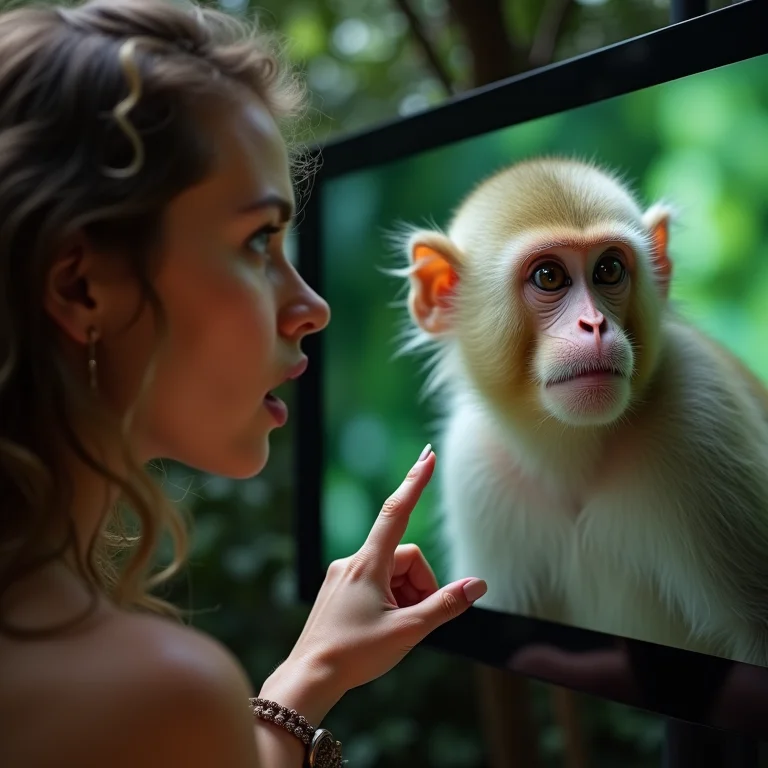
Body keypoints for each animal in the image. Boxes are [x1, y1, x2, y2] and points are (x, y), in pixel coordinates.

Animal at [391, 156, 768, 668]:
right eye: (549, 277)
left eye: (609, 268)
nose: (595, 324)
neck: (574, 454)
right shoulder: (474, 466)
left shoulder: (703, 417)